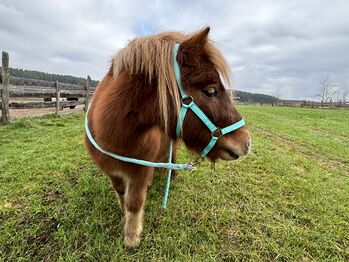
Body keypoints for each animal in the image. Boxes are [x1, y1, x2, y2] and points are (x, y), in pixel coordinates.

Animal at [84, 27, 249, 247]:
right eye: (211, 91)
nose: (246, 142)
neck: (116, 136)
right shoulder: (111, 170)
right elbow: (121, 194)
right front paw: (124, 218)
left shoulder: (139, 171)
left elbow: (134, 202)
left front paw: (132, 237)